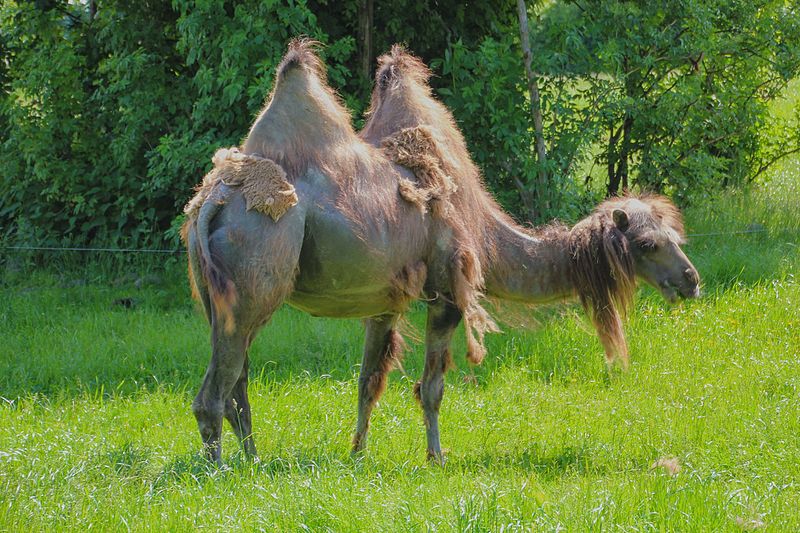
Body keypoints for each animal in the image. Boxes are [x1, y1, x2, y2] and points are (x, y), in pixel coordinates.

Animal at [184, 41, 696, 464]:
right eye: (648, 244)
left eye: (676, 235)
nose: (691, 280)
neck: (485, 232)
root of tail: (214, 199)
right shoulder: (447, 290)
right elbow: (431, 387)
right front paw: (437, 457)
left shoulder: (384, 301)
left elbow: (368, 381)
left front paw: (357, 455)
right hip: (256, 273)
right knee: (214, 392)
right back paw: (220, 472)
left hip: (218, 298)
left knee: (238, 383)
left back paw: (252, 461)